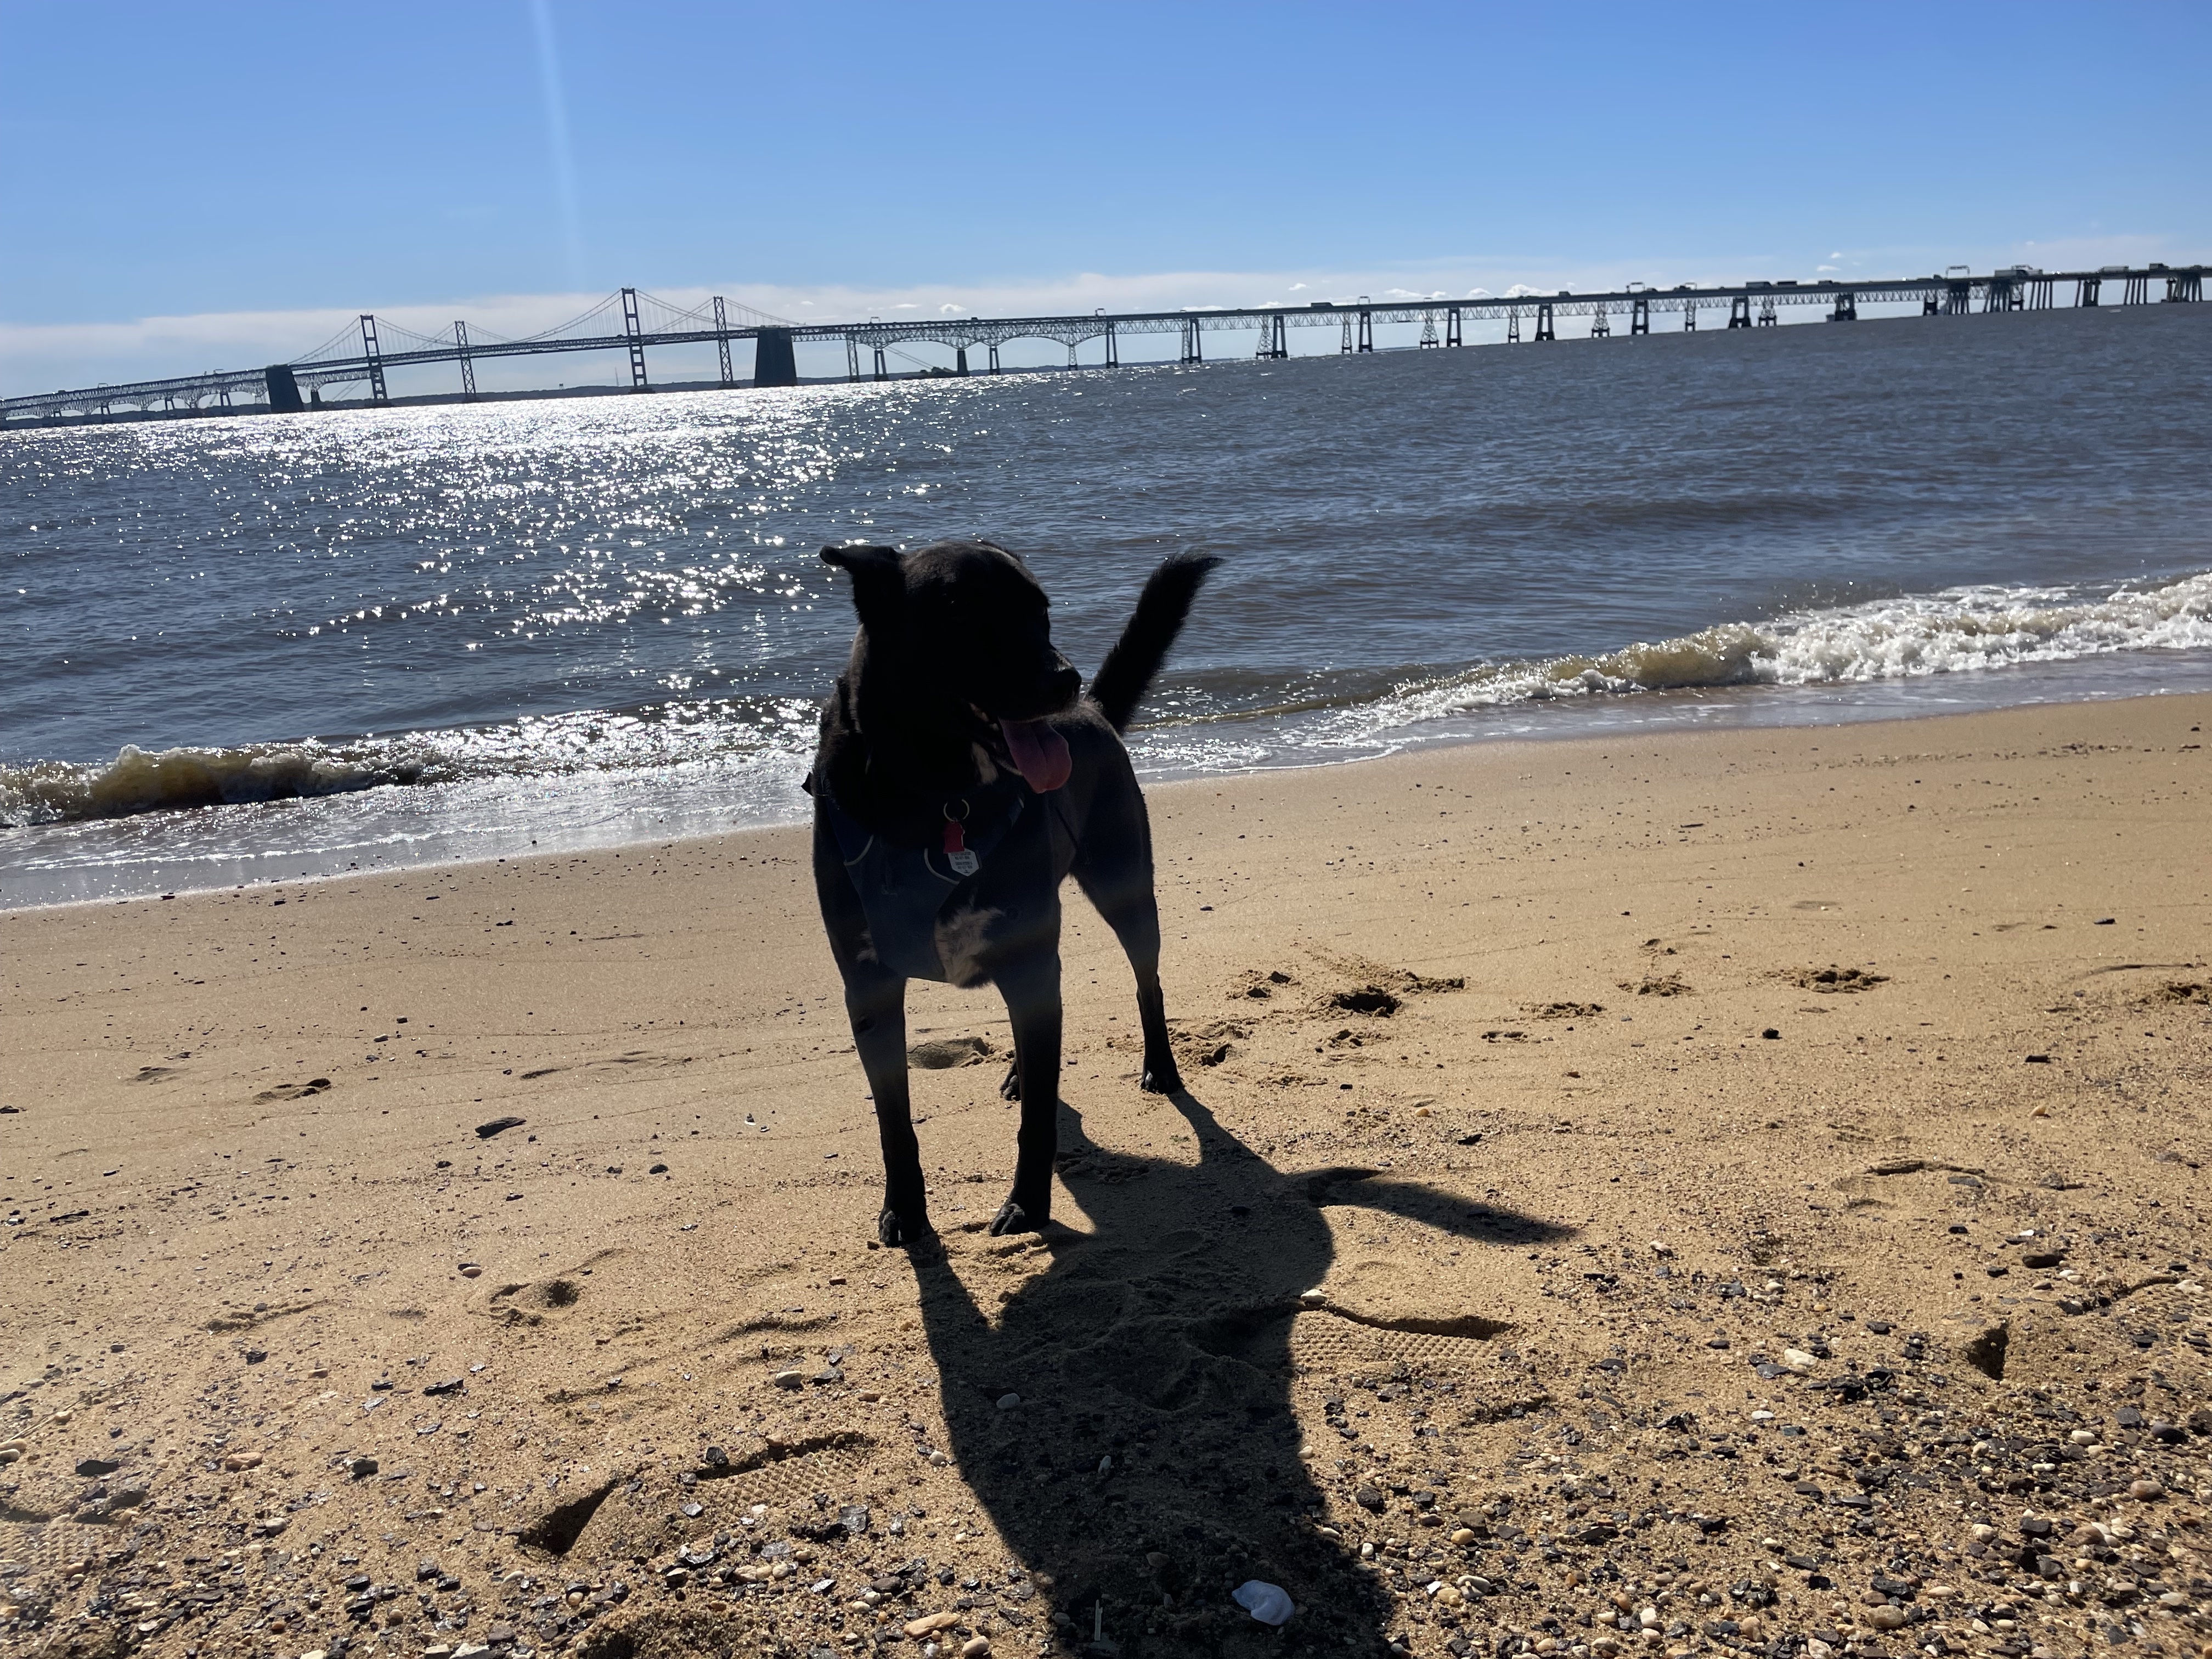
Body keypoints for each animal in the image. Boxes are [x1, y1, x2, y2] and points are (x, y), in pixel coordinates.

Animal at [809, 541, 1221, 1248]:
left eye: (1042, 612)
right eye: (964, 614)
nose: (1066, 679)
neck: (937, 799)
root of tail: (1094, 714)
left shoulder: (1031, 958)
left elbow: (1038, 1122)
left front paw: (1028, 1204)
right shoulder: (867, 986)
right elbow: (894, 1122)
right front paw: (905, 1213)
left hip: (1124, 888)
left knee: (1147, 979)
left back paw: (1158, 1066)